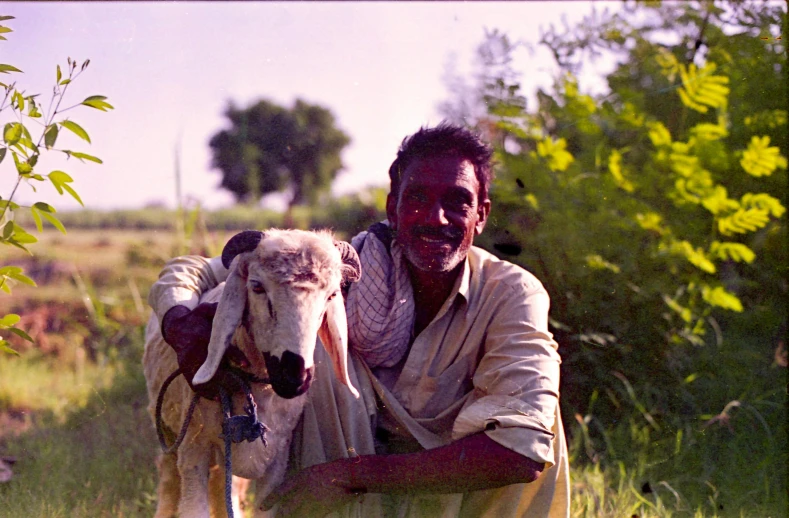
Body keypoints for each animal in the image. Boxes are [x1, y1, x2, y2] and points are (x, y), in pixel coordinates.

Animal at [144, 232, 360, 518]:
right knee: (170, 479)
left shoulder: (277, 460)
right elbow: (193, 506)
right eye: (257, 287)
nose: (294, 376)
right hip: (169, 432)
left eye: (332, 294)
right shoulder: (193, 448)